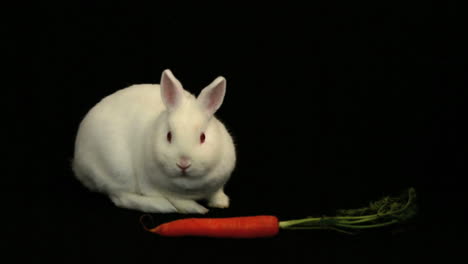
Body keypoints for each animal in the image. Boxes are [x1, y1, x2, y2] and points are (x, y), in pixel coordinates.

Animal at [72, 69, 236, 213]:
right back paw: (162, 206)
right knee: (120, 197)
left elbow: (217, 193)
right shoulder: (157, 189)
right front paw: (196, 208)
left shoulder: (218, 184)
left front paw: (221, 203)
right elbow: (179, 201)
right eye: (169, 136)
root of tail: (78, 165)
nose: (183, 163)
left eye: (203, 137)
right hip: (115, 170)